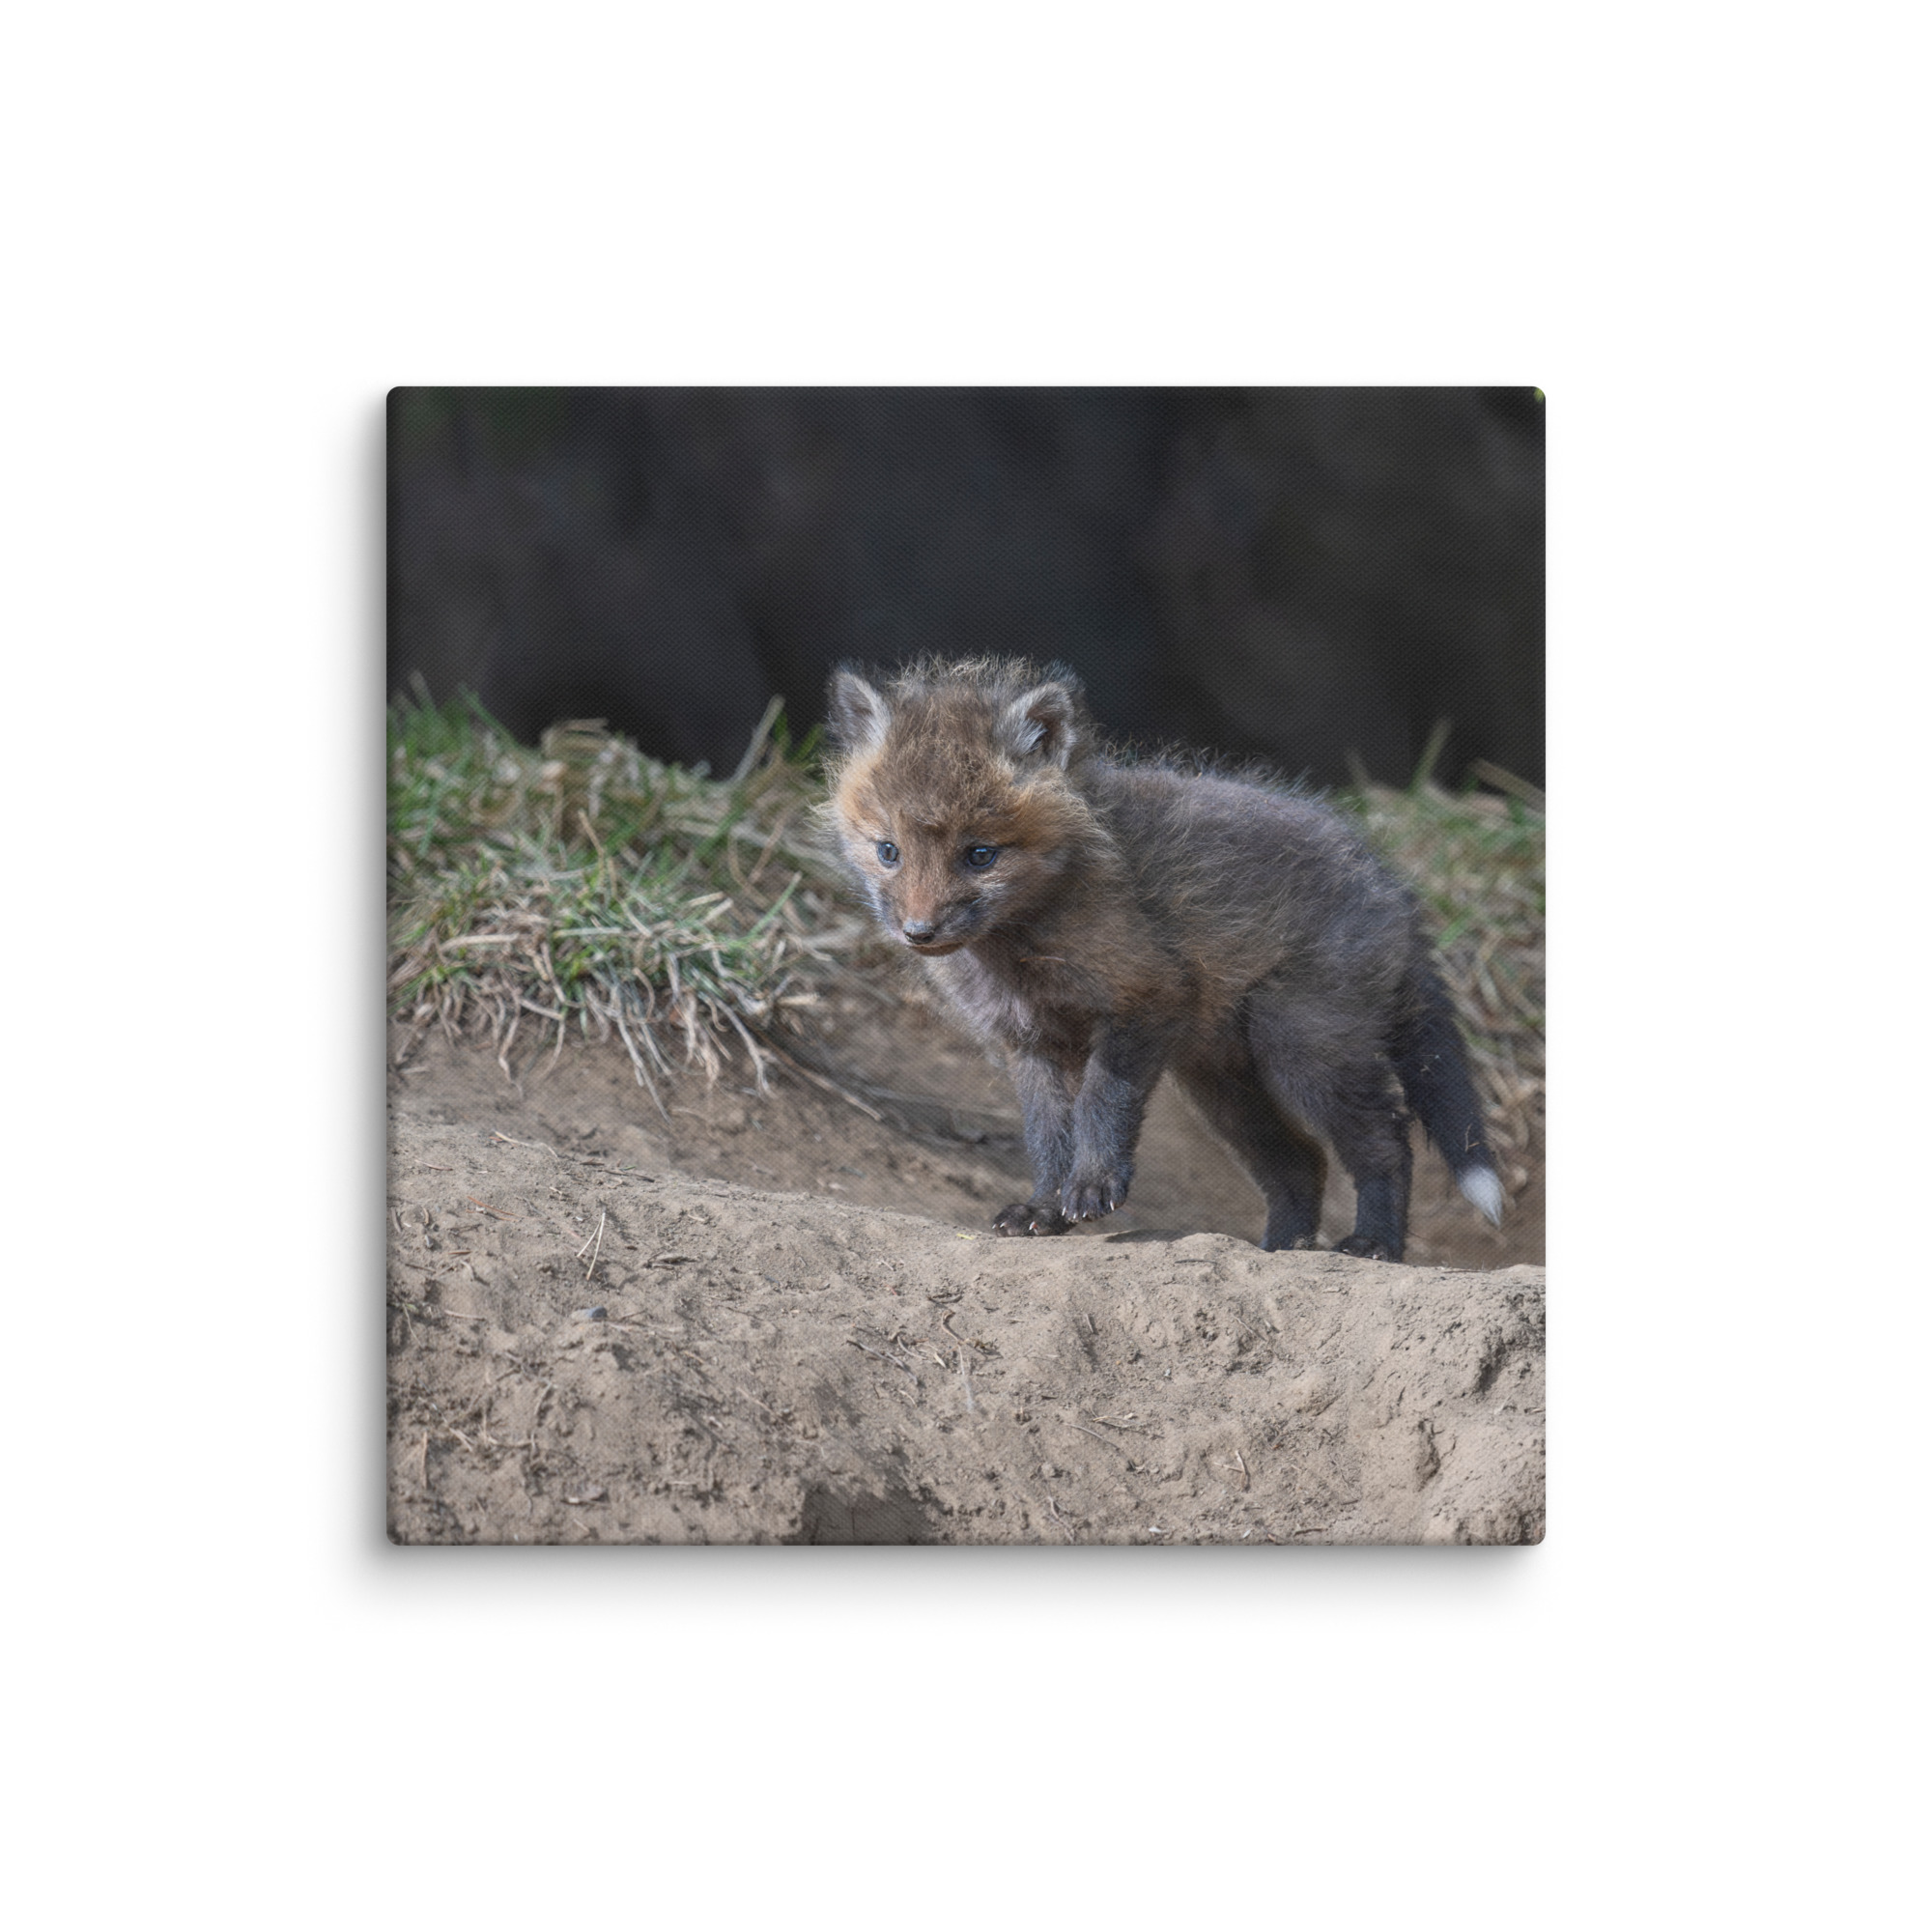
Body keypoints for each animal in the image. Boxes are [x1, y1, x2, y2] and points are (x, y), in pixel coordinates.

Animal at [823, 658, 1504, 1261]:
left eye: (980, 855)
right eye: (888, 851)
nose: (919, 932)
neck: (1020, 952)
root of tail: (1391, 885)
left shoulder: (1146, 997)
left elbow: (1102, 1103)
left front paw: (1093, 1186)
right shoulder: (1031, 1042)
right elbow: (1047, 1136)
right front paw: (1044, 1208)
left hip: (1304, 1050)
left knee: (1387, 1141)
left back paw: (1374, 1244)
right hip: (1223, 1084)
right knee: (1302, 1163)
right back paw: (1281, 1249)